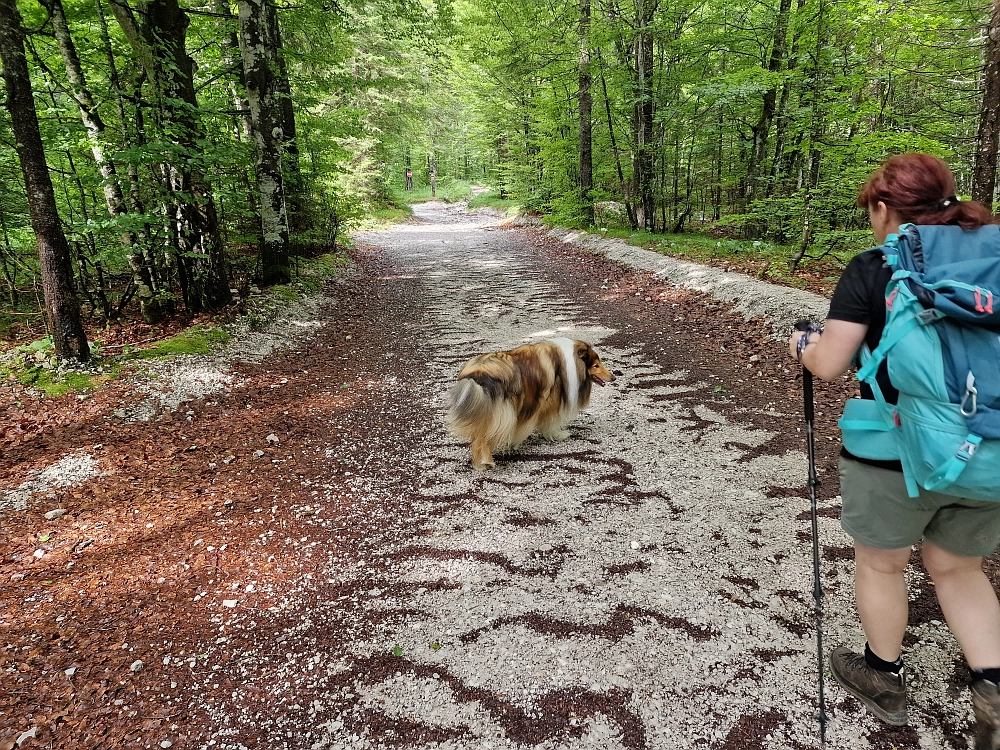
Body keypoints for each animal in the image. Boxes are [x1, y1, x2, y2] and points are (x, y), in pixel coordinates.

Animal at [448, 340, 616, 470]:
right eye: (596, 365)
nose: (614, 377)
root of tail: (478, 372)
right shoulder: (549, 403)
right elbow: (551, 421)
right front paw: (557, 434)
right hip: (503, 412)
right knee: (484, 437)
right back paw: (486, 461)